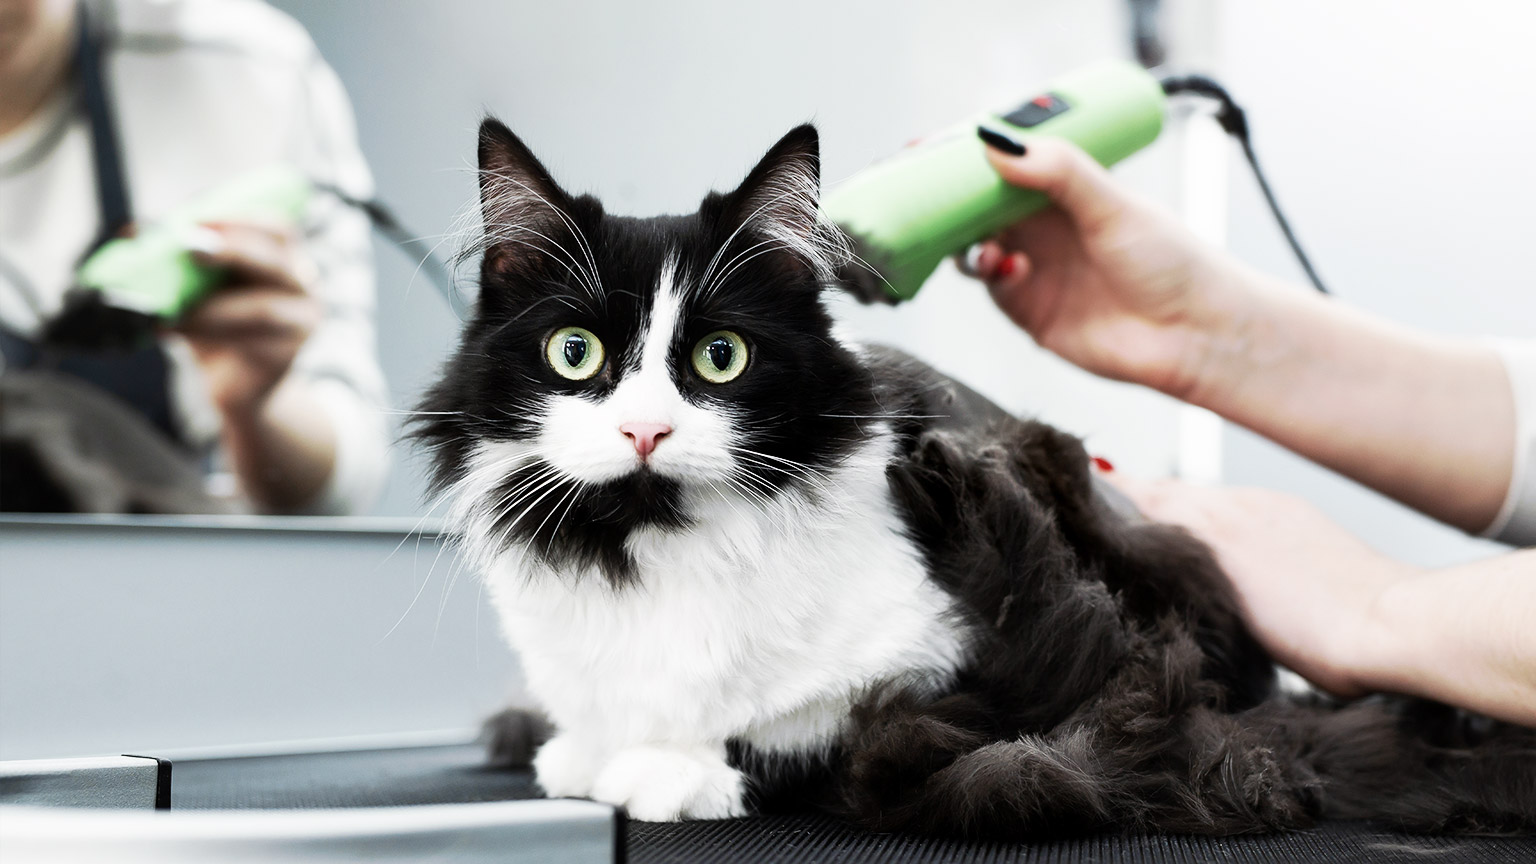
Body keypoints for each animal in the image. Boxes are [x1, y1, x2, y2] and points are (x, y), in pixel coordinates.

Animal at [411, 121, 1536, 836]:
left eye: (720, 359)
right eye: (576, 355)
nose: (645, 429)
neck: (655, 543)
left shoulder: (930, 681)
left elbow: (810, 740)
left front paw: (670, 772)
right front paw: (586, 754)